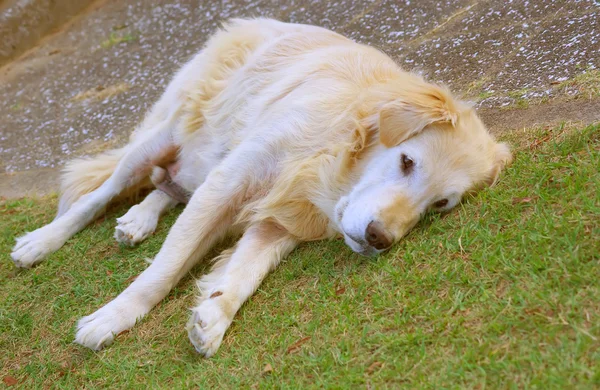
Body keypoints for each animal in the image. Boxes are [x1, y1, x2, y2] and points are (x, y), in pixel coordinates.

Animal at [9, 19, 510, 358]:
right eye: (407, 161)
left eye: (440, 204)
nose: (379, 239)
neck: (331, 153)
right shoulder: (230, 180)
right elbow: (162, 271)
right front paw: (113, 316)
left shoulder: (280, 221)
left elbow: (246, 271)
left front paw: (215, 315)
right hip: (162, 136)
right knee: (99, 194)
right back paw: (42, 241)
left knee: (168, 186)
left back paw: (138, 219)